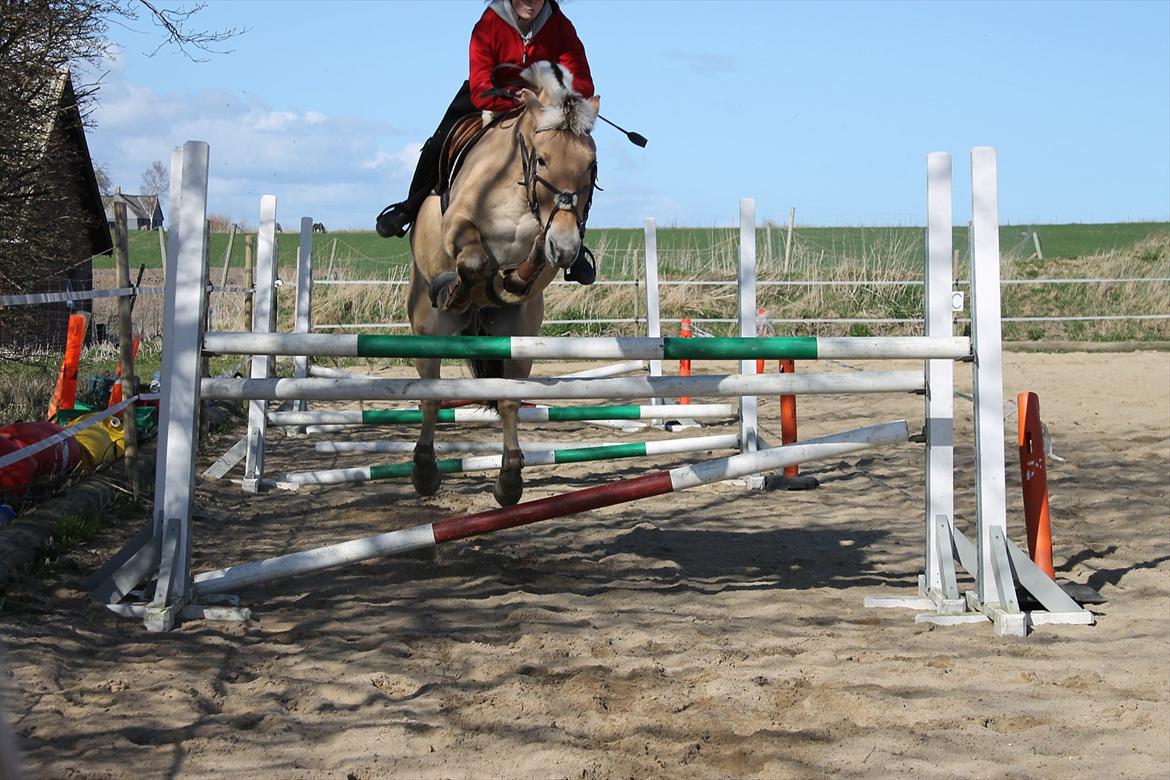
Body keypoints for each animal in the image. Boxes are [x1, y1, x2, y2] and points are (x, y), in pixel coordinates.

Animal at [406, 61, 600, 507]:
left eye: (591, 165)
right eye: (542, 160)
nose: (567, 249)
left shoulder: (545, 253)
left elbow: (530, 264)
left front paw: (511, 277)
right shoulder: (458, 225)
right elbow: (474, 260)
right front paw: (459, 287)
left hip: (519, 335)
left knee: (509, 397)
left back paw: (509, 479)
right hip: (427, 329)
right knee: (430, 397)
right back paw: (424, 471)